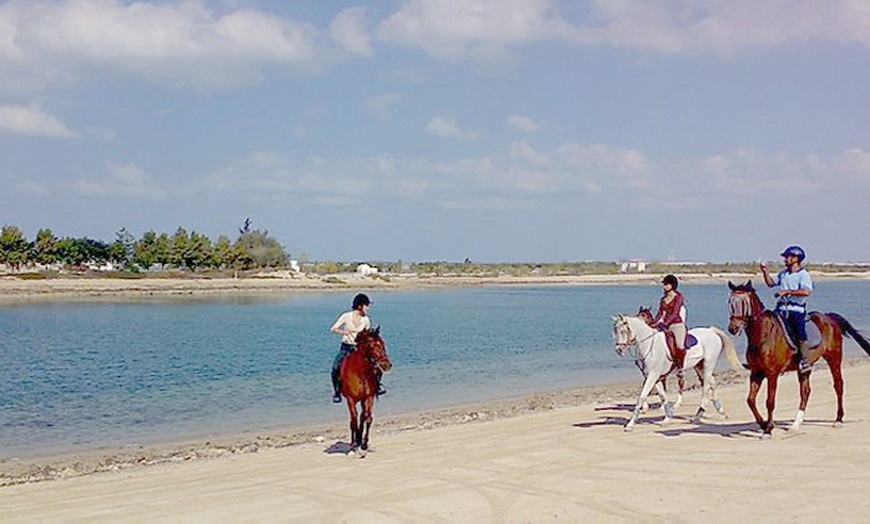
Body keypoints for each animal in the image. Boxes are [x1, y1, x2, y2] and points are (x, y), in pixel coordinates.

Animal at [612, 316, 744, 430]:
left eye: (624, 331)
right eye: (616, 331)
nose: (619, 350)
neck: (650, 345)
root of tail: (711, 331)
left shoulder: (652, 376)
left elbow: (642, 397)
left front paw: (630, 424)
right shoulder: (656, 377)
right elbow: (663, 396)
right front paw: (667, 418)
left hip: (708, 365)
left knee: (706, 387)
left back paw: (698, 416)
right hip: (699, 366)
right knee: (712, 381)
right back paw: (720, 410)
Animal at [728, 280, 870, 436]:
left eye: (744, 303)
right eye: (730, 302)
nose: (732, 328)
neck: (763, 335)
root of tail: (829, 318)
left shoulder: (772, 374)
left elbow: (770, 401)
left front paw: (768, 429)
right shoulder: (756, 372)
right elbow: (750, 400)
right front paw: (763, 424)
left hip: (834, 358)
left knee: (838, 385)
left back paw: (838, 420)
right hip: (804, 369)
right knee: (805, 392)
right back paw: (796, 424)